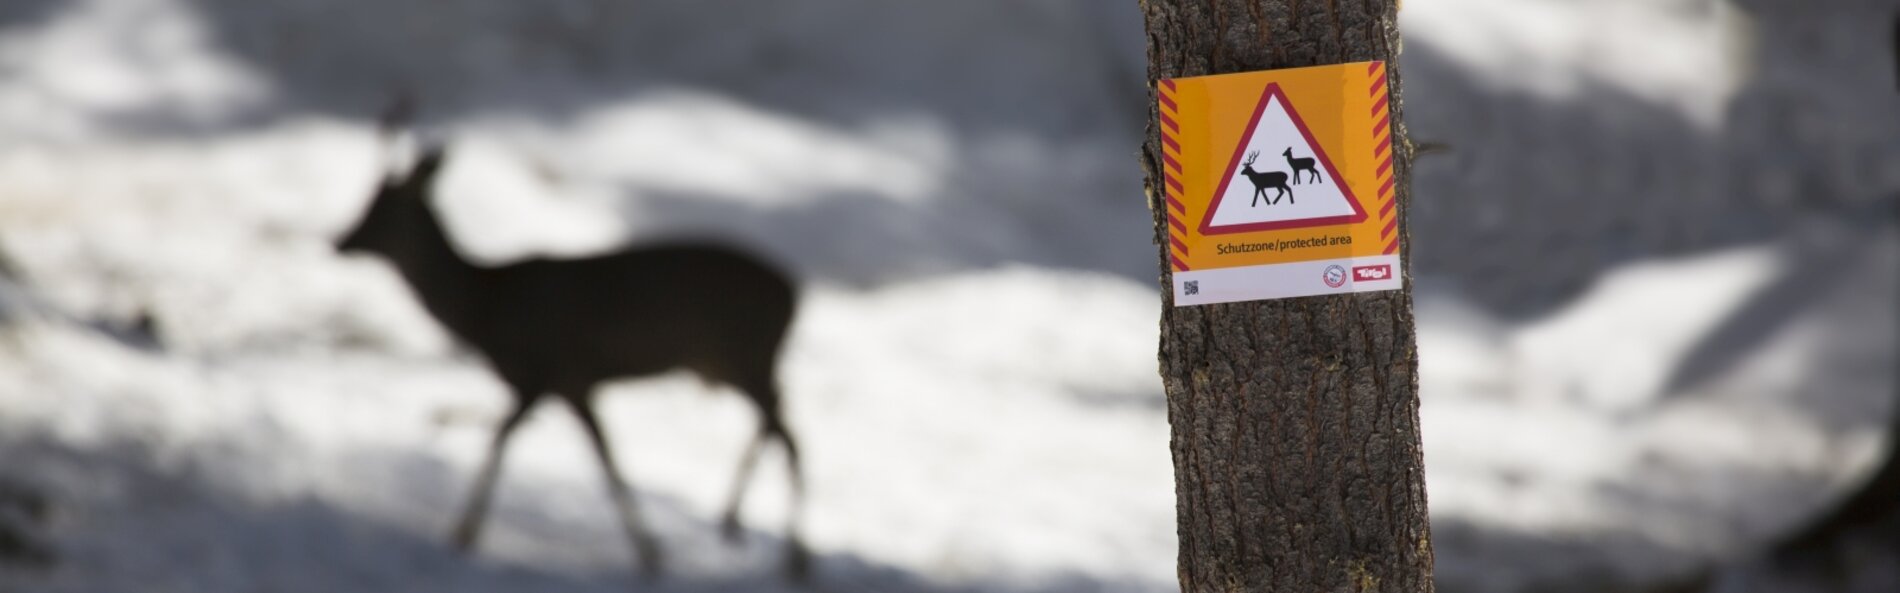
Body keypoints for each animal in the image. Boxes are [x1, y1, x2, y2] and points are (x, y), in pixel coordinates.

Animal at [334, 111, 809, 577]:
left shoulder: (545, 371)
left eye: (381, 209)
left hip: (746, 355)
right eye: (368, 203)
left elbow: (505, 437)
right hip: (728, 363)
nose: (340, 240)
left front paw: (464, 533)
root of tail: (794, 290)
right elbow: (606, 458)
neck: (485, 308)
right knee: (776, 424)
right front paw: (650, 551)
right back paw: (735, 522)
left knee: (788, 434)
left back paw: (788, 553)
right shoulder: (574, 383)